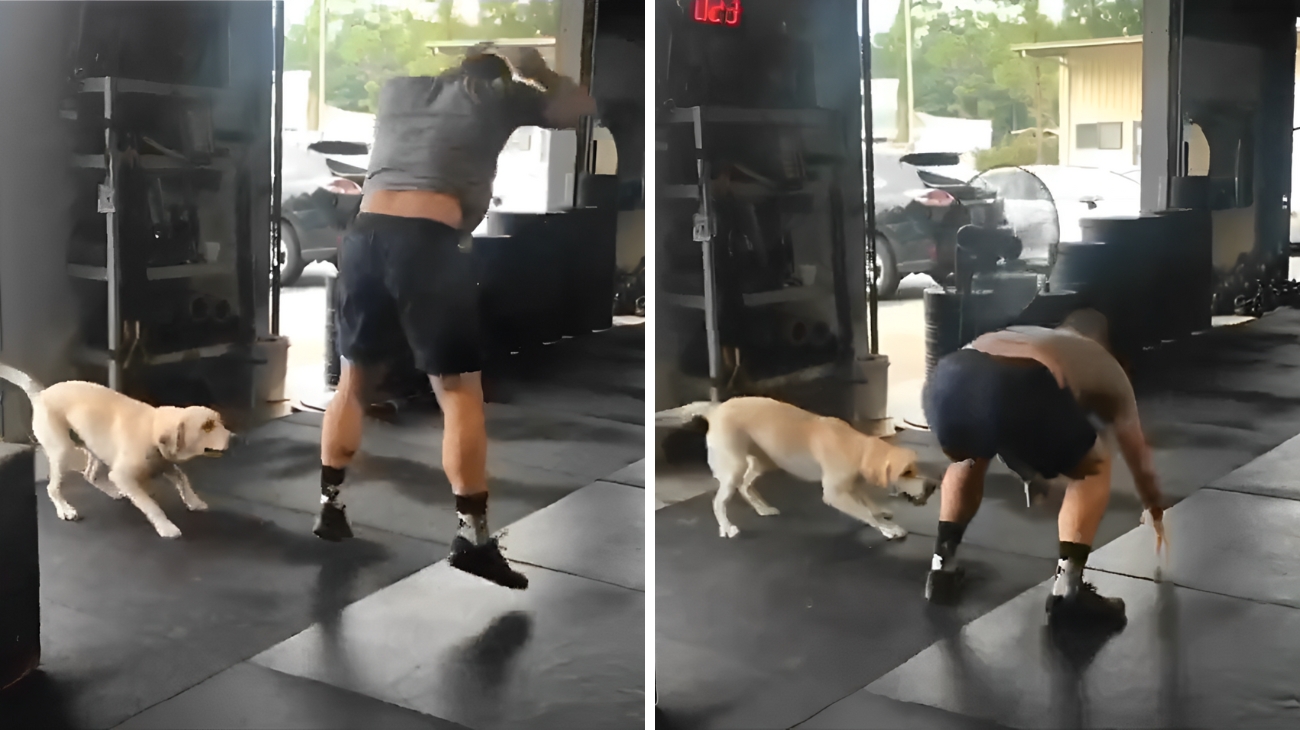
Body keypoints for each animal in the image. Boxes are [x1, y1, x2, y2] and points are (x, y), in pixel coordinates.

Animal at [0, 361, 231, 537]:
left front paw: (194, 501)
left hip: (94, 446)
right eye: (206, 426)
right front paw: (166, 527)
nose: (234, 438)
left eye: (219, 421)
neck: (153, 430)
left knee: (90, 475)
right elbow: (151, 504)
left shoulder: (164, 463)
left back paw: (113, 491)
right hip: (63, 450)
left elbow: (182, 479)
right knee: (53, 487)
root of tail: (41, 394)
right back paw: (65, 509)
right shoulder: (124, 475)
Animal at [660, 394, 935, 537]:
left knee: (746, 486)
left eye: (915, 467)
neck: (859, 448)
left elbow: (868, 504)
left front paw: (881, 513)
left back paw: (763, 508)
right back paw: (727, 527)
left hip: (765, 461)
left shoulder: (852, 485)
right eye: (906, 471)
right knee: (719, 501)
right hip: (735, 466)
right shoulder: (835, 494)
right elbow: (865, 512)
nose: (932, 486)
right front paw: (888, 529)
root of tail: (716, 409)